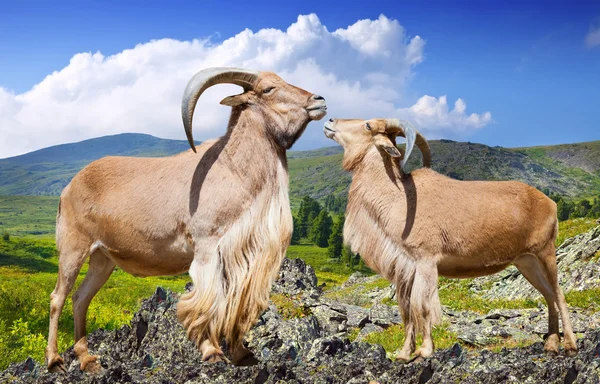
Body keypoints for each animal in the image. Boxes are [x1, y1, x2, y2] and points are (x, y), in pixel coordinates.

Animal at [45, 68, 328, 372]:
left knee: (80, 298)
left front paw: (242, 353)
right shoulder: (207, 246)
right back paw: (55, 360)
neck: (232, 170)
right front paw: (212, 351)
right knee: (58, 297)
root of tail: (68, 188)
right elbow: (209, 300)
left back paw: (87, 359)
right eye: (268, 89)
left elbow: (234, 303)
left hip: (103, 258)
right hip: (73, 248)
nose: (319, 100)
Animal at [324, 117, 576, 360]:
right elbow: (406, 309)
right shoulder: (406, 266)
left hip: (546, 252)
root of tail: (550, 203)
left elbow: (422, 306)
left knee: (559, 295)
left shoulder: (426, 260)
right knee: (549, 296)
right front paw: (404, 354)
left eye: (368, 124)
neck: (400, 197)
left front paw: (424, 350)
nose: (330, 122)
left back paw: (570, 344)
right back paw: (551, 345)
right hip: (526, 262)